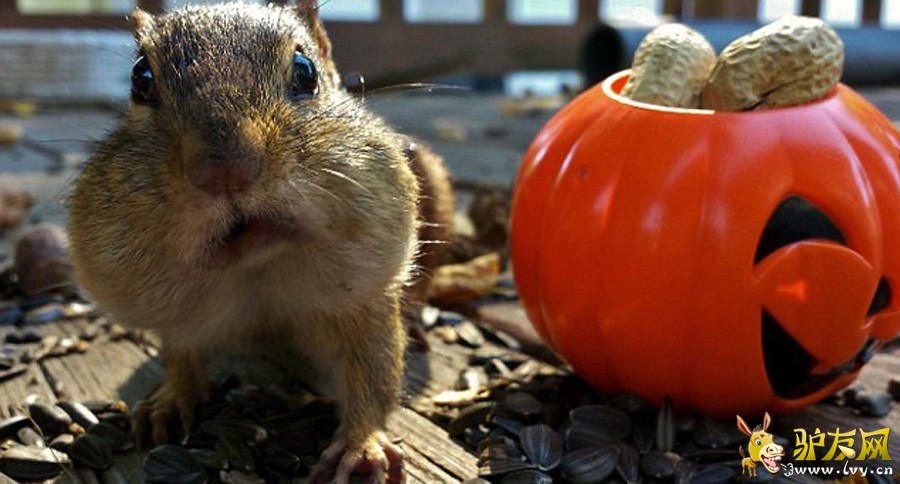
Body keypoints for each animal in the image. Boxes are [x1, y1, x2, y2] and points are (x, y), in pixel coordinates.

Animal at [67, 2, 452, 482]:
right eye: (141, 78)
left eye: (305, 72)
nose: (223, 170)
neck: (256, 268)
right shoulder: (179, 318)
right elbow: (179, 354)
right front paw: (169, 400)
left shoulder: (366, 306)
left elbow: (375, 374)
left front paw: (362, 447)